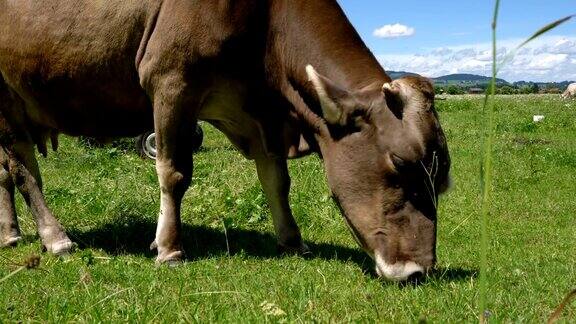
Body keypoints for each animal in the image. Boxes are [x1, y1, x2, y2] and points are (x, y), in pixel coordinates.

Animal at [0, 0, 450, 280]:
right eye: (401, 163)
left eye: (442, 177)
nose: (418, 271)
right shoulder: (172, 81)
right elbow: (174, 173)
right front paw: (169, 249)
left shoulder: (259, 110)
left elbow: (276, 181)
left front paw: (292, 241)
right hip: (7, 102)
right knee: (24, 172)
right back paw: (55, 238)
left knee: (3, 174)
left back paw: (11, 234)